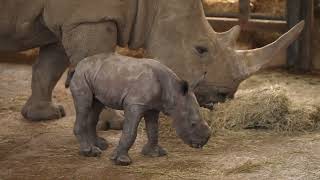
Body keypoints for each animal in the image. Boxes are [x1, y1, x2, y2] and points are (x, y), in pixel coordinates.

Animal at [0, 0, 304, 121]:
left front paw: (44, 116)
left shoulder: (71, 19)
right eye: (201, 49)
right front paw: (113, 124)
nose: (224, 96)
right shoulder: (90, 17)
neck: (152, 4)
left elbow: (49, 67)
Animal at [69, 53, 211, 166]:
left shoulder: (153, 107)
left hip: (96, 75)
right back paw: (90, 152)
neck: (173, 92)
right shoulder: (135, 104)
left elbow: (153, 129)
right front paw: (121, 161)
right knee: (84, 104)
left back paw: (100, 146)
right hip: (82, 76)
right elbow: (130, 132)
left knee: (96, 106)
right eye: (192, 123)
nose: (203, 142)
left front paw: (155, 153)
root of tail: (78, 66)